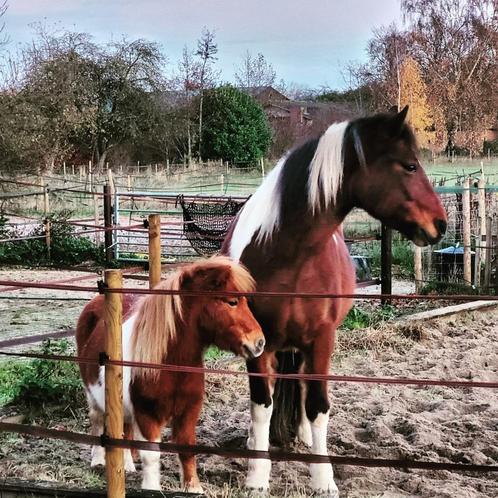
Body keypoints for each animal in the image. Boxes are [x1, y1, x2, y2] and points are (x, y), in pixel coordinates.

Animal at [76, 256, 264, 494]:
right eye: (232, 302)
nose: (259, 343)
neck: (172, 366)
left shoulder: (188, 411)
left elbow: (186, 448)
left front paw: (193, 488)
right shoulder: (147, 414)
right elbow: (150, 455)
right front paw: (151, 488)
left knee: (124, 429)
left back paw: (126, 465)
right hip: (93, 394)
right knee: (97, 420)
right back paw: (98, 461)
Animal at [222, 107, 448, 496]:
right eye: (409, 166)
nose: (441, 224)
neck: (288, 256)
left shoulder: (321, 340)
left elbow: (317, 406)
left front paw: (323, 479)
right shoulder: (257, 342)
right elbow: (261, 404)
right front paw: (257, 476)